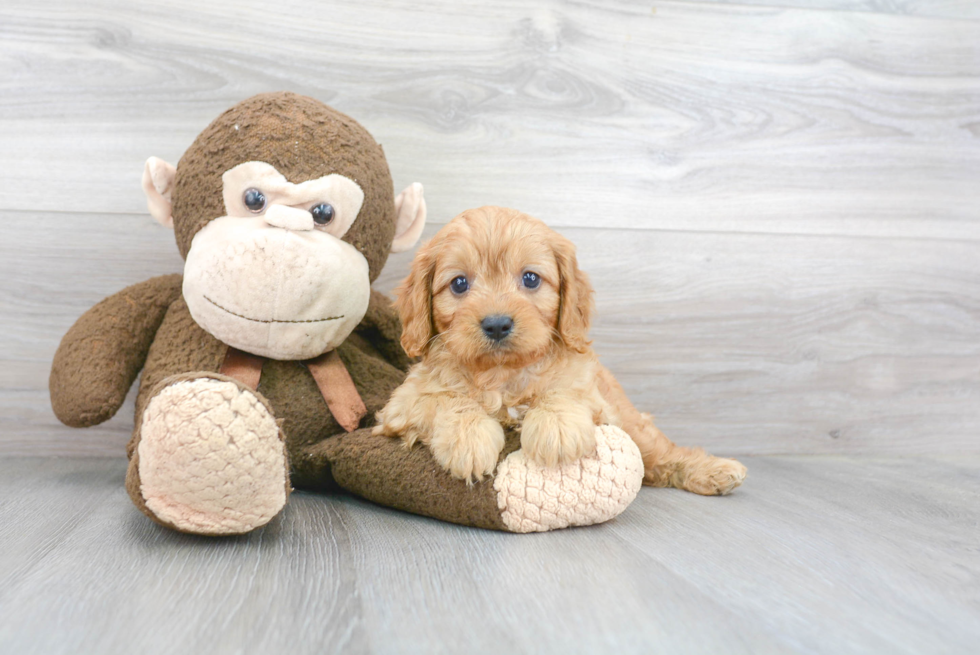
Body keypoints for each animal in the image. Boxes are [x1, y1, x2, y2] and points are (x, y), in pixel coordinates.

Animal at [374, 208, 744, 494]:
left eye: (531, 279)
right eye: (459, 284)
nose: (497, 324)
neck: (502, 374)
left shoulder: (591, 393)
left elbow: (562, 390)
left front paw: (556, 427)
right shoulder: (403, 404)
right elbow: (447, 399)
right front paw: (469, 439)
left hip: (632, 422)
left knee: (662, 453)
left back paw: (715, 471)